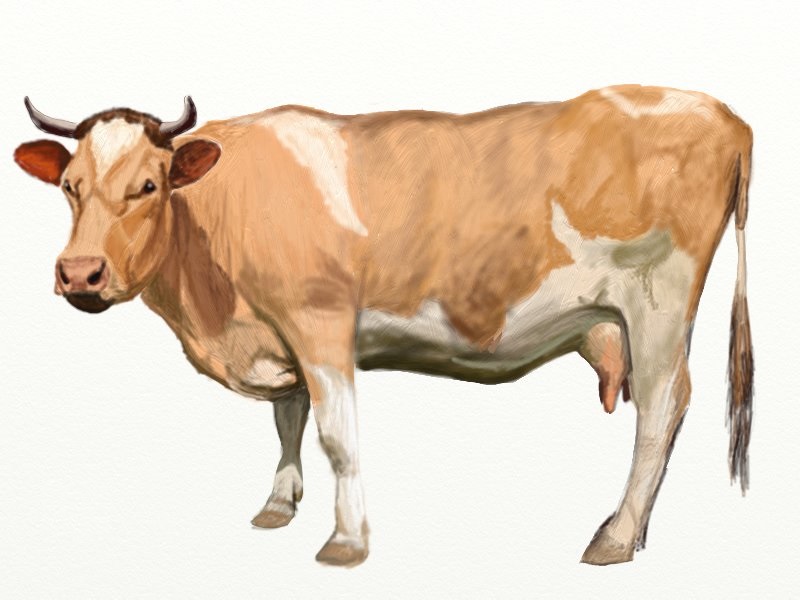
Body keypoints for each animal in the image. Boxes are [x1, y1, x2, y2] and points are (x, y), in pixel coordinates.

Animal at [14, 85, 753, 567]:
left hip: (659, 302)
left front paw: (346, 542)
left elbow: (337, 437)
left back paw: (617, 537)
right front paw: (279, 503)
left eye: (149, 185)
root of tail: (721, 112)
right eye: (70, 187)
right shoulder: (280, 336)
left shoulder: (320, 322)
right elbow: (289, 419)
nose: (80, 273)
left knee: (661, 408)